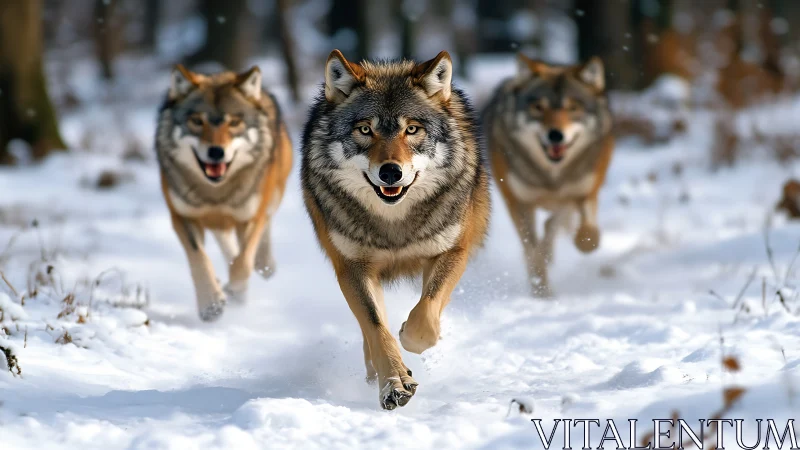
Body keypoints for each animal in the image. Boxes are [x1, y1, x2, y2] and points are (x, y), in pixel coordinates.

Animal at [155, 65, 292, 321]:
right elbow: (199, 259)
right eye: (197, 121)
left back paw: (265, 265)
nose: (216, 152)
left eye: (234, 122)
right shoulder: (183, 216)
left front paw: (238, 291)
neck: (216, 193)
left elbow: (243, 262)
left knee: (264, 225)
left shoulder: (251, 216)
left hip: (273, 193)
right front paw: (211, 303)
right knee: (225, 240)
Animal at [301, 50, 490, 409]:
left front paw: (410, 338)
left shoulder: (452, 250)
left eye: (412, 129)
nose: (391, 172)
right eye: (365, 129)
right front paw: (394, 382)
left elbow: (425, 314)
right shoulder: (351, 267)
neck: (394, 223)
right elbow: (376, 327)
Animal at [483, 54, 614, 296]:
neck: (550, 177)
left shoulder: (583, 191)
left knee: (555, 224)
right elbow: (532, 250)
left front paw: (585, 241)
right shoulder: (518, 201)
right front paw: (541, 292)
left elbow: (586, 233)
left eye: (573, 107)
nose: (555, 135)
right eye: (538, 107)